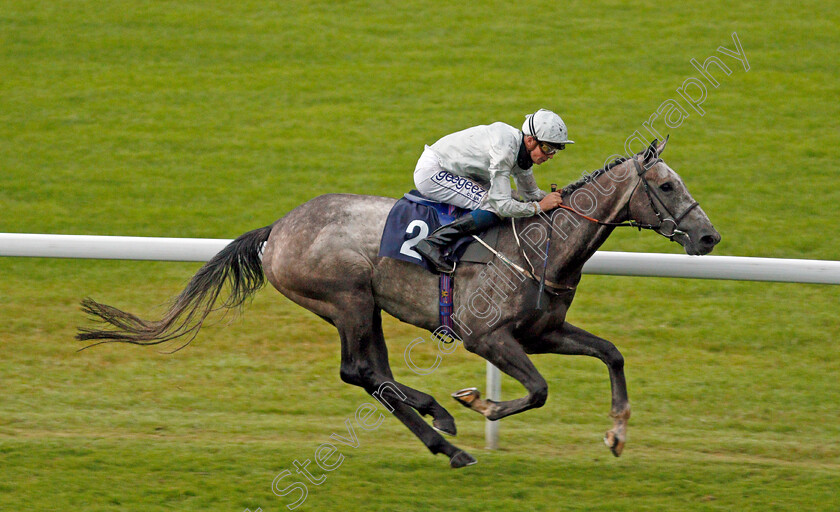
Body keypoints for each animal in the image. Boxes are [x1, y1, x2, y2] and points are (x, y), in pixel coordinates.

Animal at [79, 139, 720, 468]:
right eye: (667, 186)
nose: (709, 236)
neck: (543, 245)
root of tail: (277, 230)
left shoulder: (541, 333)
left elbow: (611, 353)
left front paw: (616, 435)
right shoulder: (487, 336)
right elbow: (538, 390)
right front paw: (481, 405)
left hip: (365, 306)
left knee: (374, 373)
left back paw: (440, 427)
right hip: (348, 298)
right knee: (361, 371)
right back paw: (446, 431)